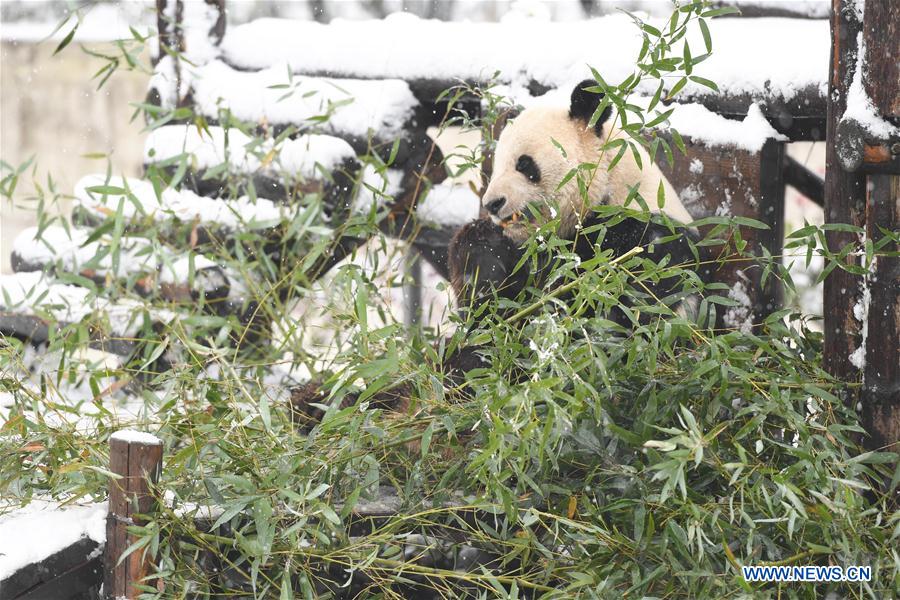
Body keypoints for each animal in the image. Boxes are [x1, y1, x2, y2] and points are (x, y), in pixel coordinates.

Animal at [446, 78, 708, 326]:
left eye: (524, 164)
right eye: (496, 166)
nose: (492, 203)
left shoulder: (651, 246)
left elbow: (606, 308)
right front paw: (483, 251)